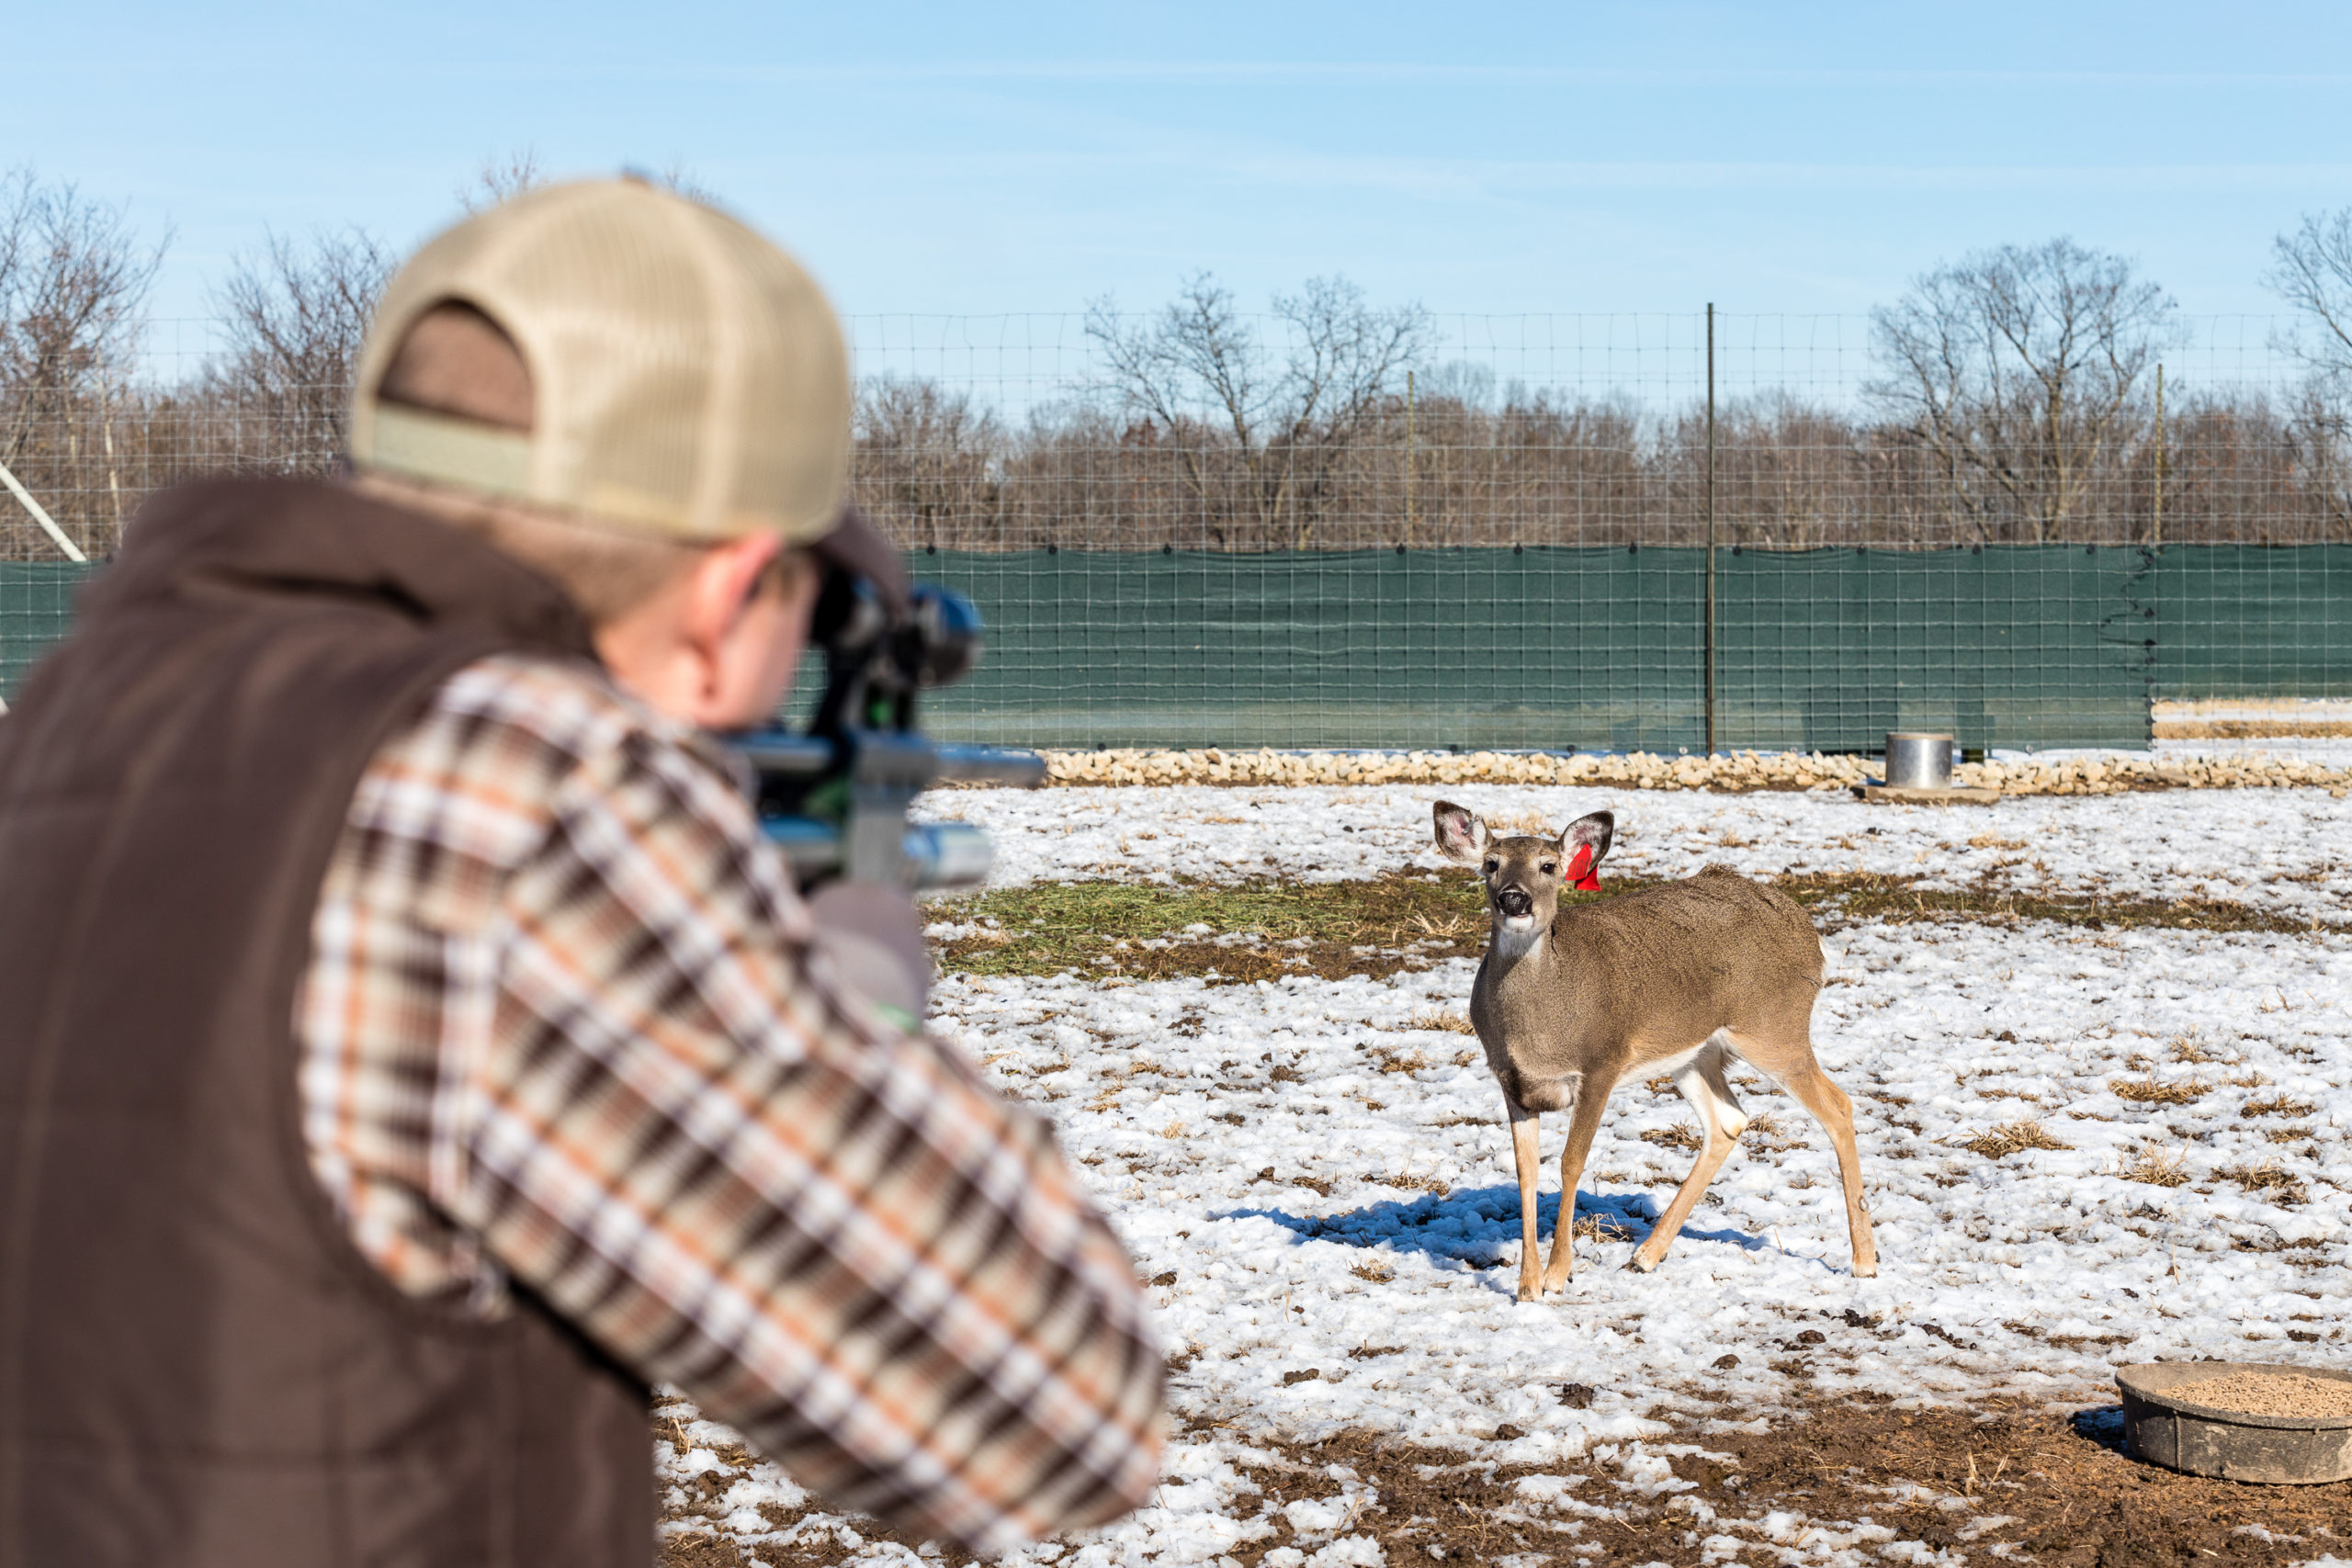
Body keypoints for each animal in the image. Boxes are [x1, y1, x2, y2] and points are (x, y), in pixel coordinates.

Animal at [1430, 799, 1871, 1297]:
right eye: (1491, 864)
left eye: (1549, 866)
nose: (1514, 899)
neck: (1540, 1028)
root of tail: (1807, 930)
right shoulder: (1511, 1081)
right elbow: (1525, 1171)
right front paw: (1527, 1286)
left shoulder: (1603, 1060)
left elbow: (1571, 1162)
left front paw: (1558, 1275)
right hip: (1695, 1054)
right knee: (1730, 1121)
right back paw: (1644, 1256)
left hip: (1775, 1028)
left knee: (1838, 1106)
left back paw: (1864, 1261)